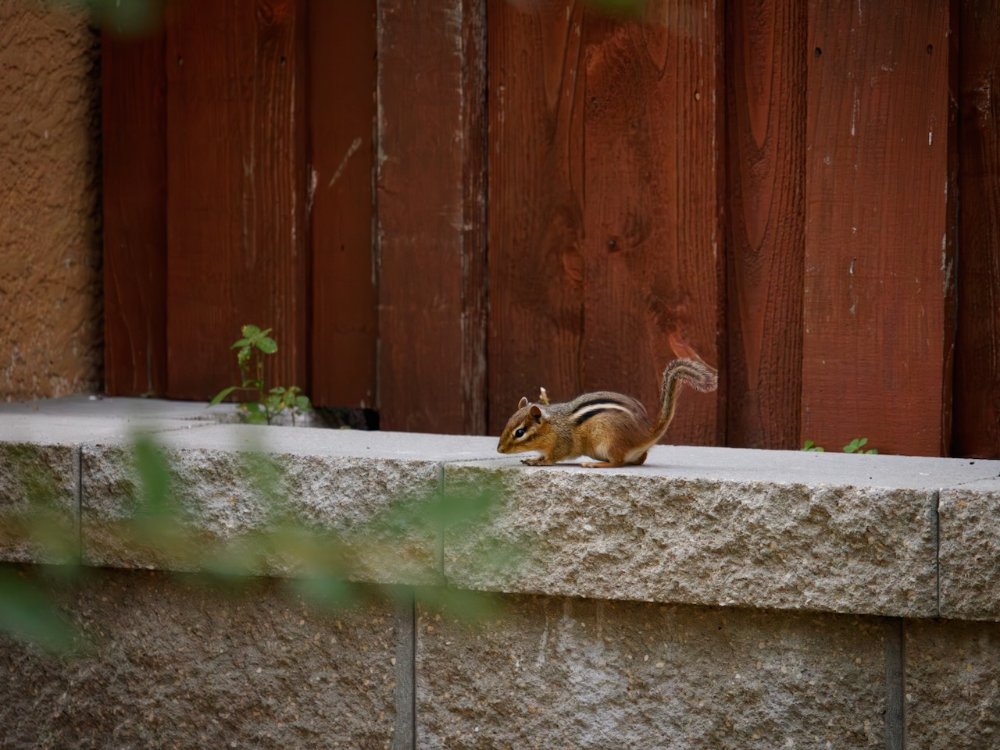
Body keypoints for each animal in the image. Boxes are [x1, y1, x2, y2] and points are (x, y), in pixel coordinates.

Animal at [496, 358, 718, 468]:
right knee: (640, 459)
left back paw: (595, 465)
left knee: (618, 463)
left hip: (609, 441)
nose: (499, 450)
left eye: (519, 432)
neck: (553, 425)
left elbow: (553, 457)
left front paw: (537, 461)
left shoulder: (562, 444)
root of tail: (644, 434)